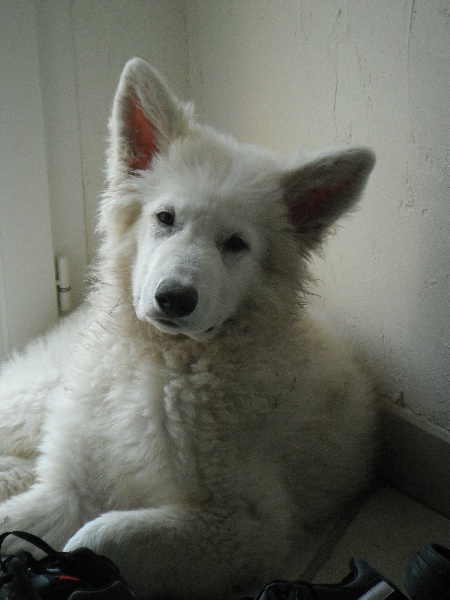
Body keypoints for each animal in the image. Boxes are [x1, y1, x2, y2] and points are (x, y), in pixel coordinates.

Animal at [0, 58, 376, 599]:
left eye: (236, 244)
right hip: (38, 396)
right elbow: (25, 519)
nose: (174, 298)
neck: (161, 360)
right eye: (165, 217)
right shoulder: (71, 484)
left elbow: (97, 536)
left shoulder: (245, 523)